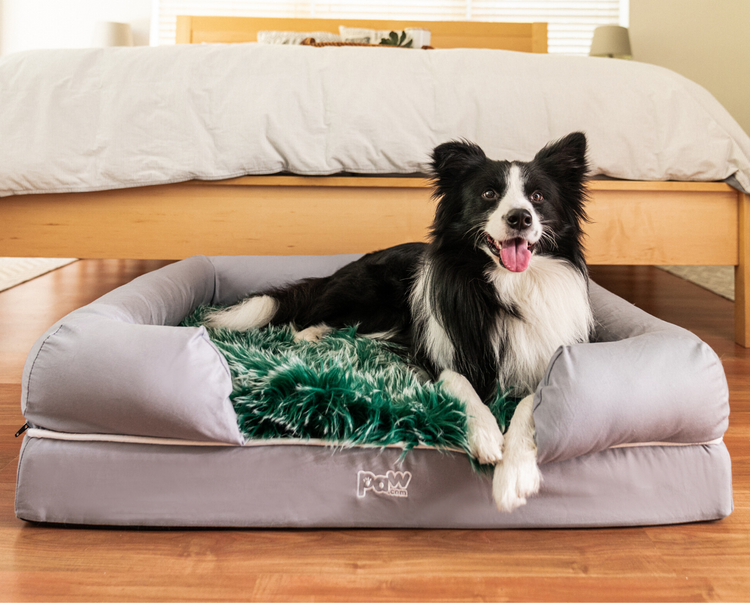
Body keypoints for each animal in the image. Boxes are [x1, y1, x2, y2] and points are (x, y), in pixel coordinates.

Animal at [206, 131, 592, 510]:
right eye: (489, 194)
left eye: (537, 197)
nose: (520, 218)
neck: (507, 287)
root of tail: (343, 270)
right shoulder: (437, 352)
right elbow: (461, 384)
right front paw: (486, 435)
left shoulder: (542, 358)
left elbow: (529, 406)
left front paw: (514, 476)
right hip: (369, 293)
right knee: (309, 322)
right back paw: (319, 339)